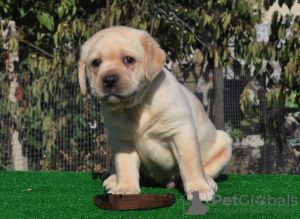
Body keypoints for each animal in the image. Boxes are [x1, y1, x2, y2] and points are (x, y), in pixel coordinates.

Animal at [78, 26, 232, 202]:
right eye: (96, 63)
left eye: (129, 60)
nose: (109, 79)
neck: (136, 107)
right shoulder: (121, 140)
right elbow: (125, 165)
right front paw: (125, 188)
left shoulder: (182, 131)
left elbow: (190, 163)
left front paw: (199, 188)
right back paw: (112, 178)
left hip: (225, 143)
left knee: (205, 169)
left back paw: (208, 182)